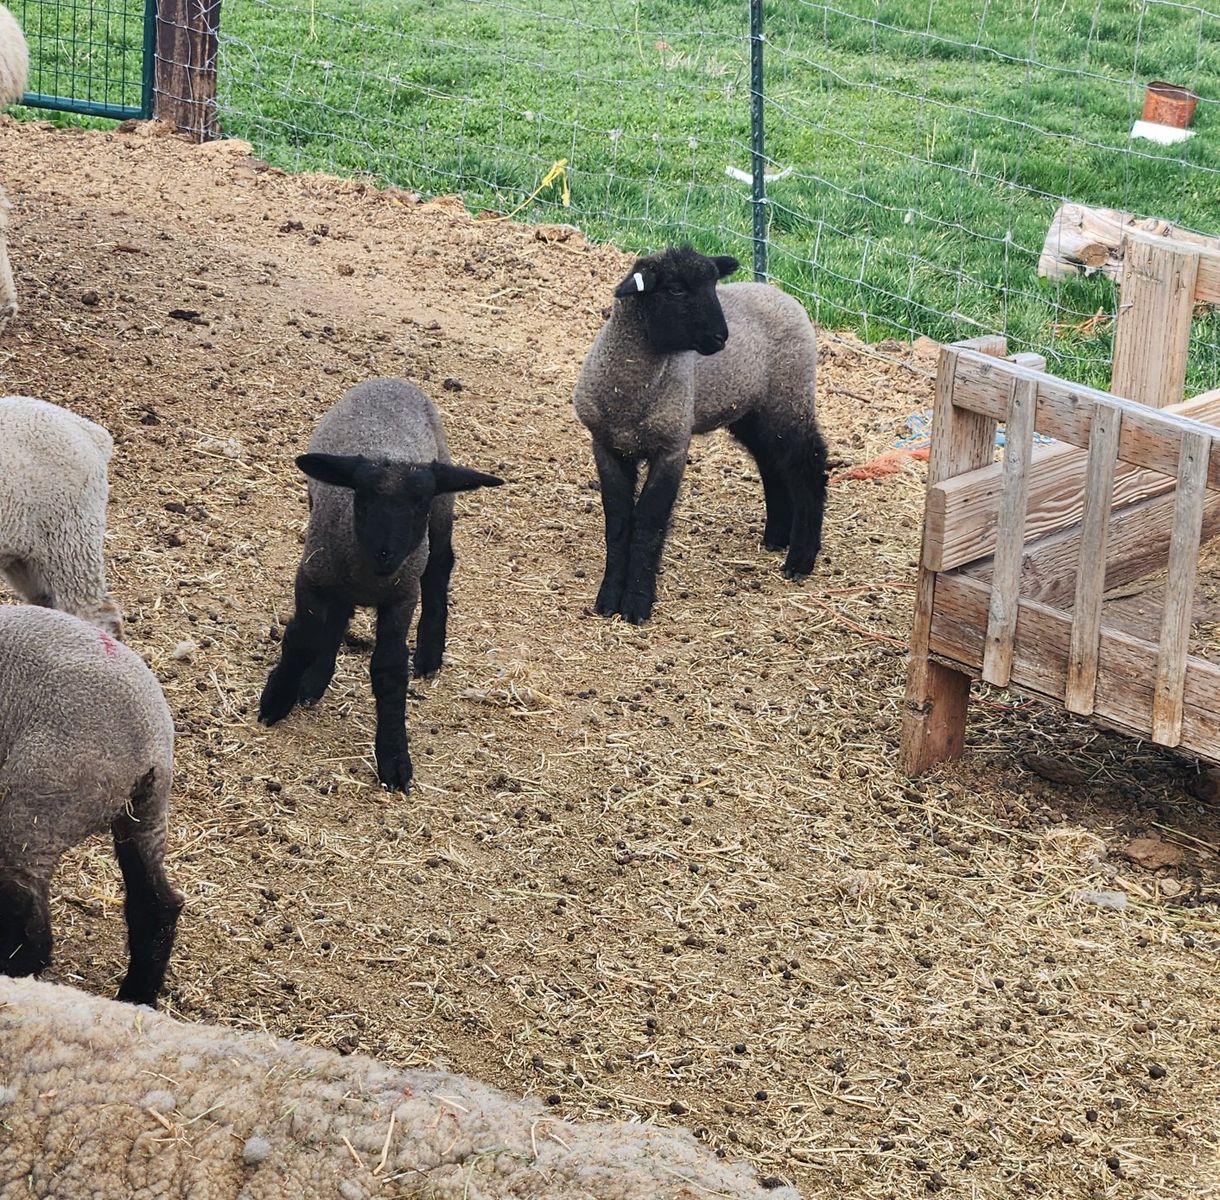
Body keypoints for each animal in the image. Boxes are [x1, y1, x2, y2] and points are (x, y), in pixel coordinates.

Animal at [0, 606, 182, 1009]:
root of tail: (146, 747)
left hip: (34, 810)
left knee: (32, 938)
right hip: (144, 814)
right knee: (157, 906)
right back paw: (136, 998)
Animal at [259, 378, 502, 793]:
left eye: (419, 504)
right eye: (363, 500)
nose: (386, 554)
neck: (370, 577)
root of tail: (393, 380)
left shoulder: (402, 597)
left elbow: (389, 669)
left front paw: (394, 758)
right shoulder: (311, 576)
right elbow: (304, 637)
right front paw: (278, 697)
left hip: (442, 518)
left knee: (439, 571)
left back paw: (430, 654)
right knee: (339, 612)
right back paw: (315, 678)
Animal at [573, 244, 829, 624]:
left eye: (713, 286)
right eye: (675, 289)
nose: (721, 338)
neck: (630, 392)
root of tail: (780, 294)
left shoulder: (672, 448)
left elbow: (649, 523)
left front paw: (636, 604)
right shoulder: (606, 446)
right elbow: (617, 521)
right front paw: (607, 600)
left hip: (789, 398)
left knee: (807, 467)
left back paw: (800, 558)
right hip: (750, 410)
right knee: (772, 465)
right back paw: (777, 536)